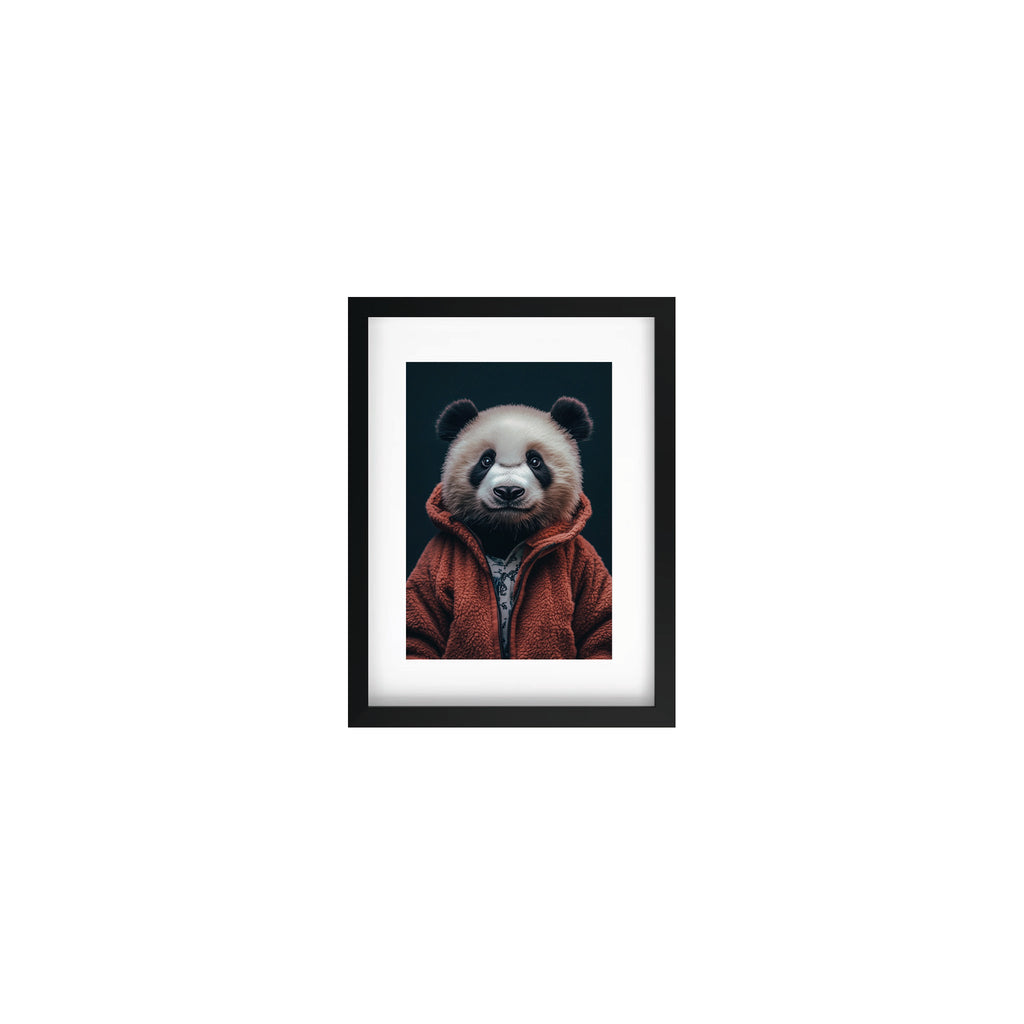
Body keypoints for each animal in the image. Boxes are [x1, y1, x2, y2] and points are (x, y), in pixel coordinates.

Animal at [406, 396, 612, 660]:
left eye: (535, 461)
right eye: (486, 460)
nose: (508, 491)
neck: (506, 531)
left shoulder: (583, 558)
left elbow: (598, 623)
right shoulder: (435, 558)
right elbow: (421, 627)